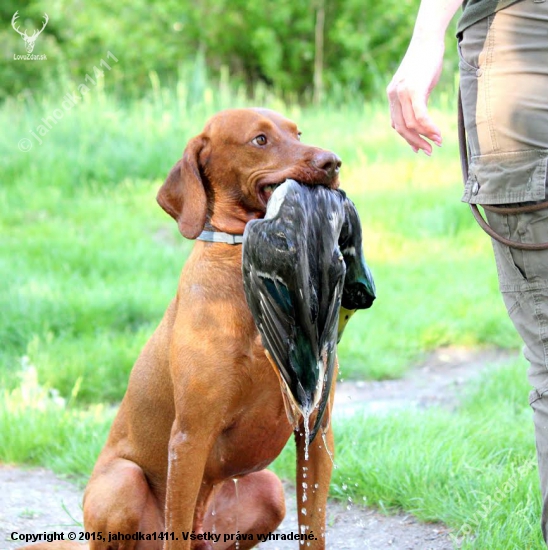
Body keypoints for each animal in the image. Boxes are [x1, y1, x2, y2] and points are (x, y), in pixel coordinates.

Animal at [26, 109, 342, 550]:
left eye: (298, 133)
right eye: (260, 140)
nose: (333, 162)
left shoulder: (317, 428)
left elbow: (314, 527)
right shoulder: (190, 437)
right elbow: (176, 521)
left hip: (266, 488)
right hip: (123, 483)